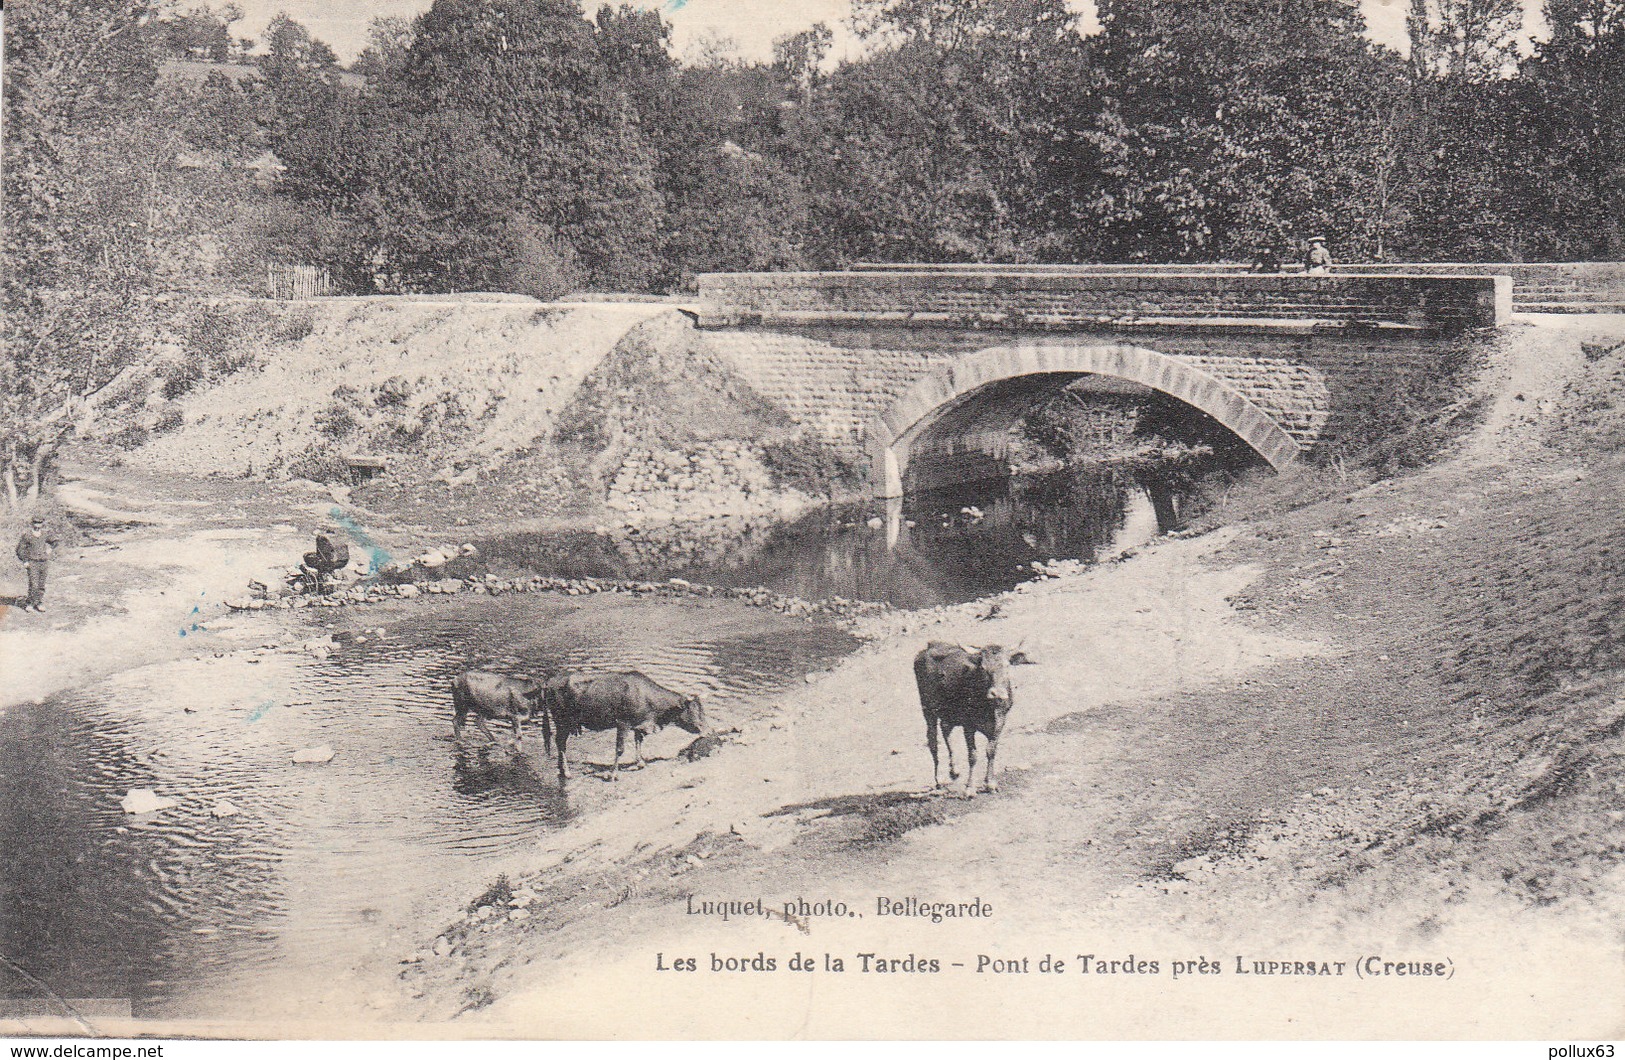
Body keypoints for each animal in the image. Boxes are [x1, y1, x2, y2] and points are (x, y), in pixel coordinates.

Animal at [546, 676, 705, 783]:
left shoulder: (638, 724)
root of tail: (550, 682)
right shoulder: (623, 723)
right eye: (693, 710)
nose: (705, 728)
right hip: (563, 722)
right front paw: (613, 774)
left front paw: (640, 762)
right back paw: (566, 771)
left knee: (559, 743)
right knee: (561, 743)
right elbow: (620, 749)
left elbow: (638, 741)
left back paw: (561, 769)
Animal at [916, 640, 1014, 799]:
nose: (997, 693)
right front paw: (970, 788)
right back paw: (939, 779)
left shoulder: (1000, 722)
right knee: (933, 741)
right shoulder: (968, 725)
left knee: (945, 729)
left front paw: (990, 783)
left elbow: (991, 751)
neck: (989, 708)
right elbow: (973, 756)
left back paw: (954, 771)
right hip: (928, 709)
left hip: (949, 713)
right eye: (983, 668)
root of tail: (930, 645)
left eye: (1007, 665)